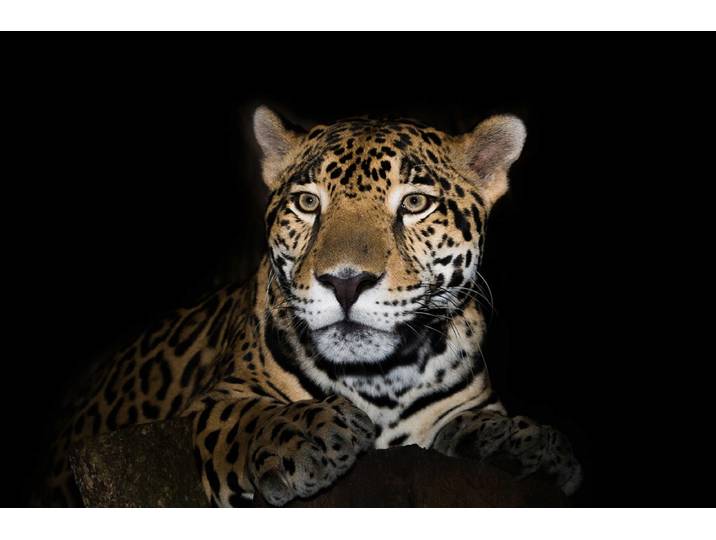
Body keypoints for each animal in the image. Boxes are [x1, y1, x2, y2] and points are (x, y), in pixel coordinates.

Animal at [38, 106, 582, 507]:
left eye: (414, 204)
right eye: (307, 203)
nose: (345, 281)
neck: (379, 382)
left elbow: (474, 421)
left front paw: (525, 441)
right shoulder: (215, 400)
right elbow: (249, 417)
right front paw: (308, 435)